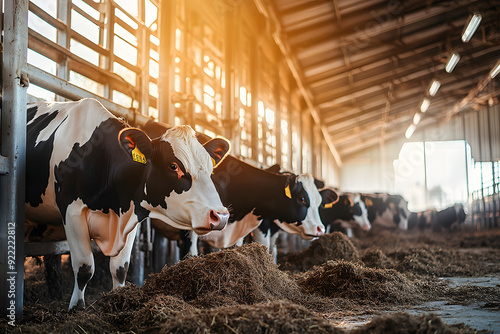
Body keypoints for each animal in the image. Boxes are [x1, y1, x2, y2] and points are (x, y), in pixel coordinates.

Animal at [25, 99, 230, 310]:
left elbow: (120, 268)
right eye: (174, 166)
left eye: (210, 168)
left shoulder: (132, 215)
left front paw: (117, 298)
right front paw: (76, 308)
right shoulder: (72, 212)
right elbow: (84, 267)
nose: (220, 215)